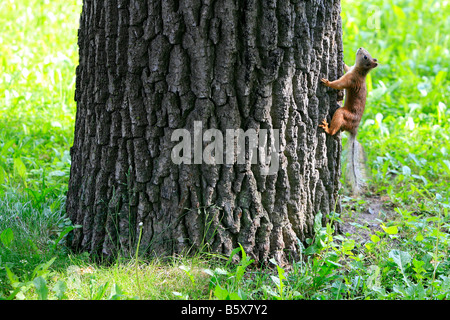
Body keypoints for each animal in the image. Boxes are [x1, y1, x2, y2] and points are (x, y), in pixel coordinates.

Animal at [318, 46, 378, 194]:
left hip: (342, 114)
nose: (360, 47)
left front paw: (327, 82)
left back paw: (327, 128)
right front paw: (343, 62)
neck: (359, 71)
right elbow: (346, 67)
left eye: (365, 57)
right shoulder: (350, 70)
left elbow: (339, 84)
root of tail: (354, 128)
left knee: (334, 128)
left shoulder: (351, 80)